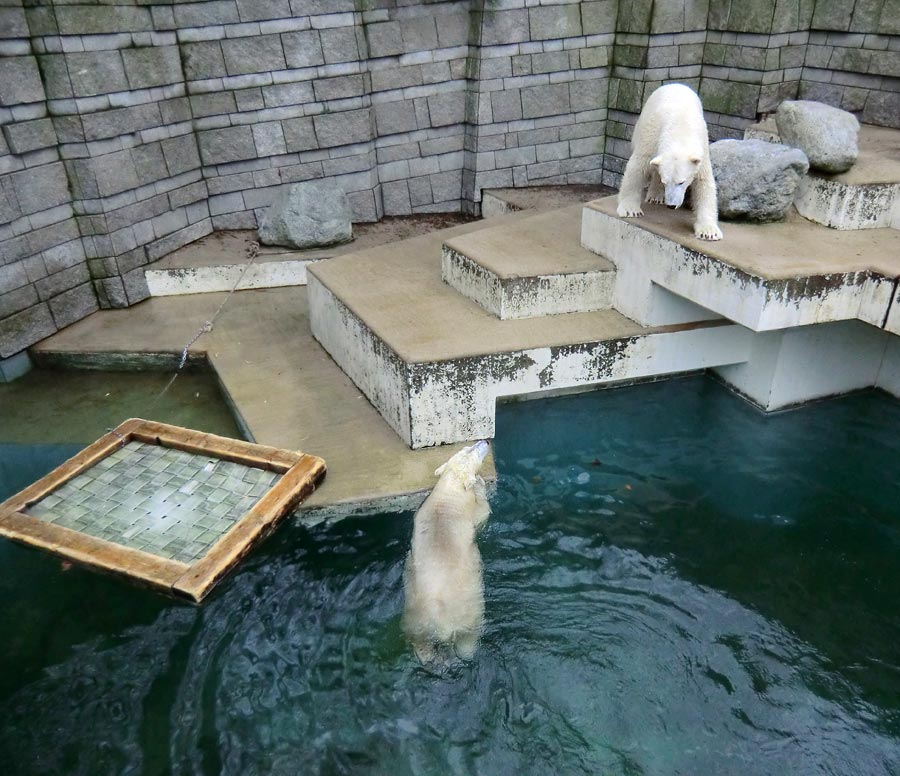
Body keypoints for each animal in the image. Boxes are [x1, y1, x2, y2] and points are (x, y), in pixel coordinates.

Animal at [402, 440, 492, 664]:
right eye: (472, 451)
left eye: (466, 448)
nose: (485, 441)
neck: (449, 491)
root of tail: (441, 627)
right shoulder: (471, 514)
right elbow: (483, 513)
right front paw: (479, 483)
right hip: (471, 614)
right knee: (468, 640)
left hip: (415, 621)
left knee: (420, 642)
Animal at [616, 81, 720, 239]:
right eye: (666, 182)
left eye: (681, 182)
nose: (671, 205)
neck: (681, 128)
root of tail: (675, 84)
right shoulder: (652, 137)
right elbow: (638, 167)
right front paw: (630, 210)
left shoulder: (702, 150)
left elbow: (704, 183)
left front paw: (708, 232)